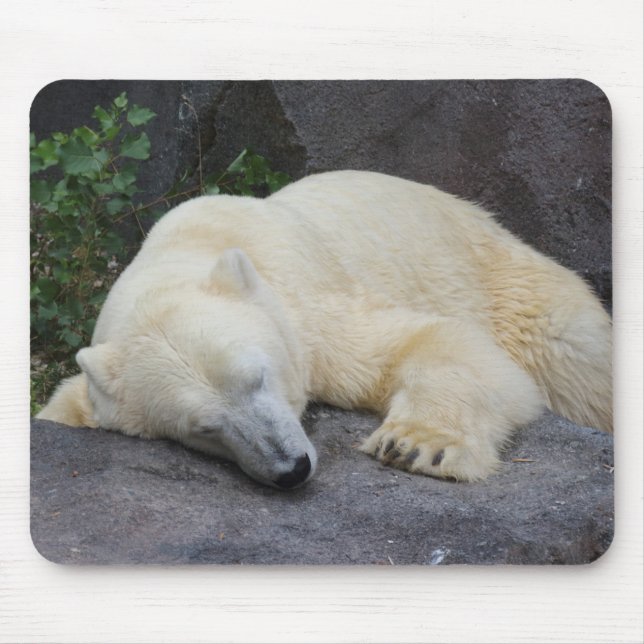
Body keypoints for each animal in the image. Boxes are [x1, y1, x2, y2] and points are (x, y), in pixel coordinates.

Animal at [37, 170, 612, 488]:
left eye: (258, 378)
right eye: (203, 427)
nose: (290, 468)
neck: (192, 246)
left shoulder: (311, 308)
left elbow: (435, 341)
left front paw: (416, 446)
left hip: (510, 282)